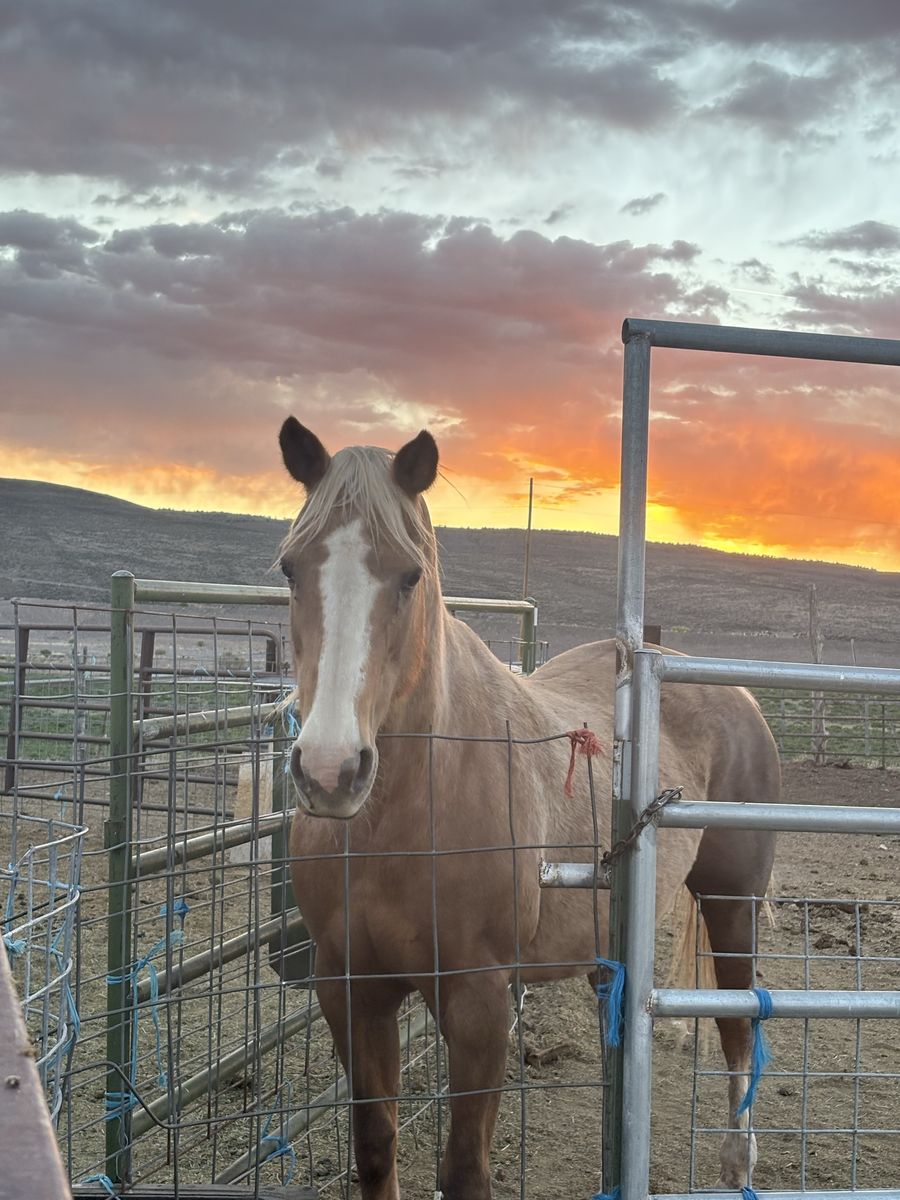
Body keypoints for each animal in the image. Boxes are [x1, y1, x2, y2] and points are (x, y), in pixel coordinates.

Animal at [277, 418, 781, 1200]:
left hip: (732, 903)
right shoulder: (350, 989)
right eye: (290, 569)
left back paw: (737, 1161)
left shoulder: (479, 1002)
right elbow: (376, 1147)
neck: (404, 825)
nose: (331, 770)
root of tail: (738, 695)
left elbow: (465, 1169)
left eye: (409, 575)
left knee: (736, 1025)